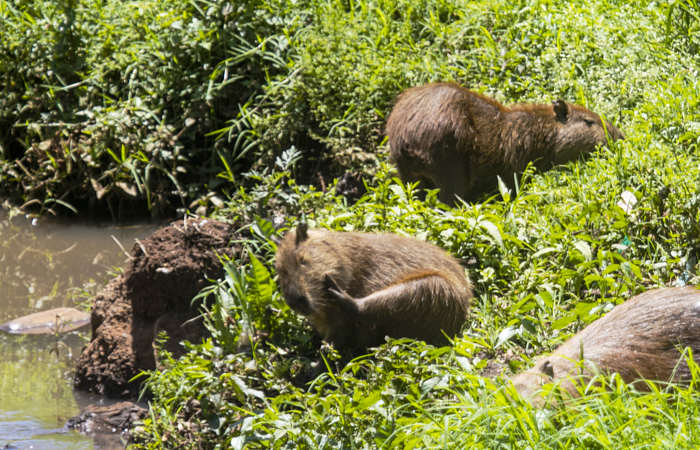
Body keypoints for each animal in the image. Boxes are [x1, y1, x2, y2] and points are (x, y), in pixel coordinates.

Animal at [386, 82, 624, 204]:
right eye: (589, 122)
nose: (620, 136)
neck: (537, 129)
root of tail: (406, 145)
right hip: (449, 162)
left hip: (408, 174)